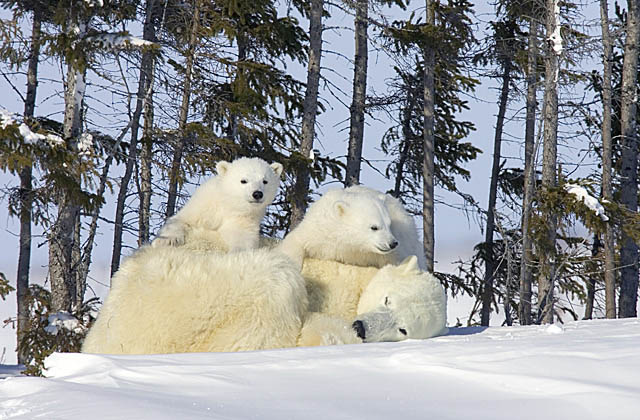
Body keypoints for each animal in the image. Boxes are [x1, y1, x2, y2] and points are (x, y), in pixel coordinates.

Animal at [152, 156, 282, 251]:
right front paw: (166, 240)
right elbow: (181, 220)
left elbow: (241, 236)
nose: (257, 194)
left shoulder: (243, 217)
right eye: (243, 180)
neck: (228, 203)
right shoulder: (204, 207)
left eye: (265, 181)